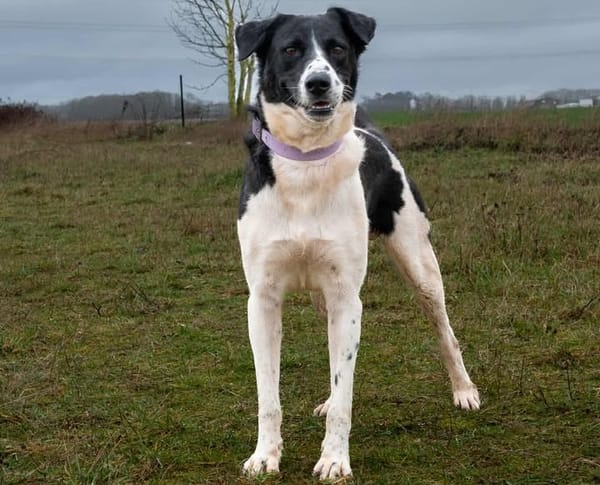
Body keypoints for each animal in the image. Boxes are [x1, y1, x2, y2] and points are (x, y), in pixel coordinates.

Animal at [235, 7, 480, 480]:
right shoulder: (263, 300)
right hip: (327, 298)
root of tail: (373, 132)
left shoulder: (348, 297)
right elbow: (268, 395)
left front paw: (334, 459)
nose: (319, 82)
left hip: (419, 266)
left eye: (337, 48)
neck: (306, 164)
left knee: (445, 331)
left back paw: (464, 390)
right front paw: (265, 455)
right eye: (290, 49)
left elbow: (344, 392)